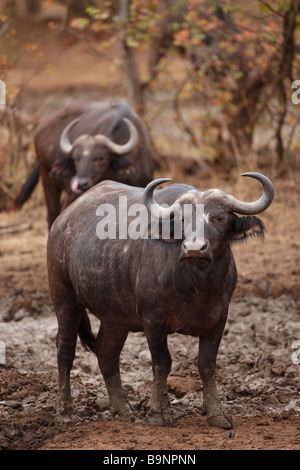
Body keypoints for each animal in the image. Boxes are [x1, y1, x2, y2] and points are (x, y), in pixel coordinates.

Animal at [47, 172, 274, 430]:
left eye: (219, 217)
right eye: (183, 219)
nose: (194, 248)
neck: (198, 286)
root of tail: (61, 221)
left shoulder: (219, 318)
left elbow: (207, 364)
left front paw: (217, 414)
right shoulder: (153, 319)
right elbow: (162, 362)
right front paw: (159, 412)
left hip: (115, 316)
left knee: (106, 353)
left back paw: (124, 410)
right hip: (64, 298)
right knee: (65, 349)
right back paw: (65, 412)